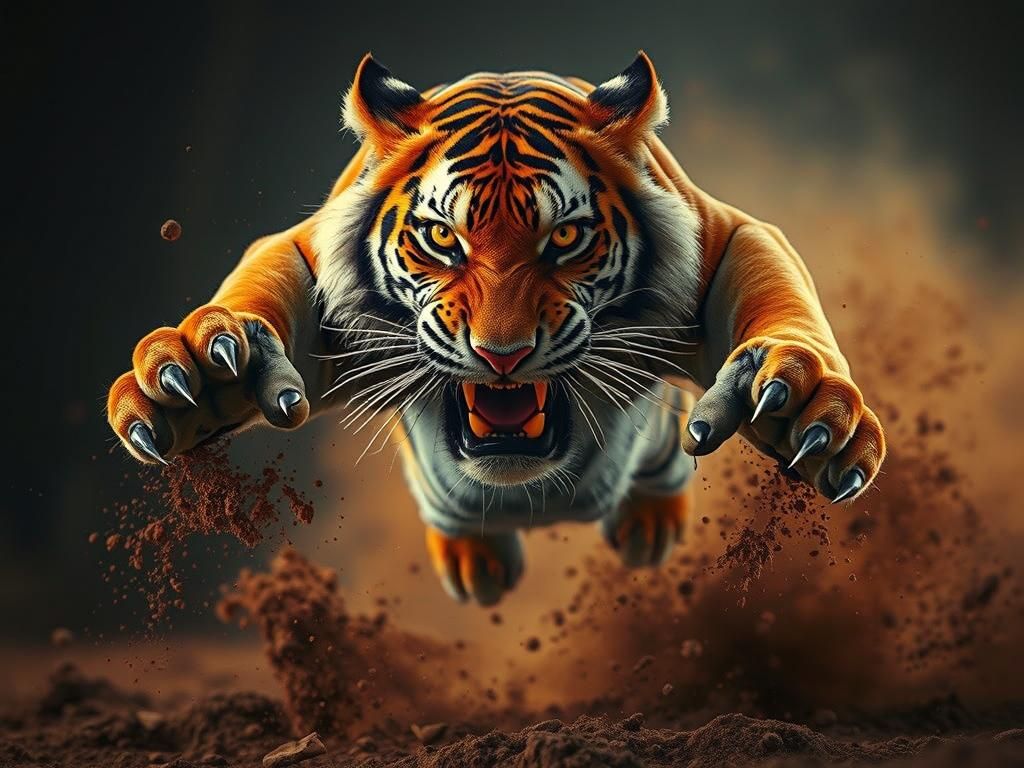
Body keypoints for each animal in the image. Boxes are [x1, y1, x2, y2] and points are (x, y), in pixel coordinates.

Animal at [107, 53, 885, 606]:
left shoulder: (729, 240)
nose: (501, 355)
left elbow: (780, 304)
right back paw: (475, 560)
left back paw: (646, 526)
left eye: (565, 237)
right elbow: (259, 288)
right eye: (441, 238)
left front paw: (800, 405)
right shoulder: (309, 275)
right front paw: (204, 374)